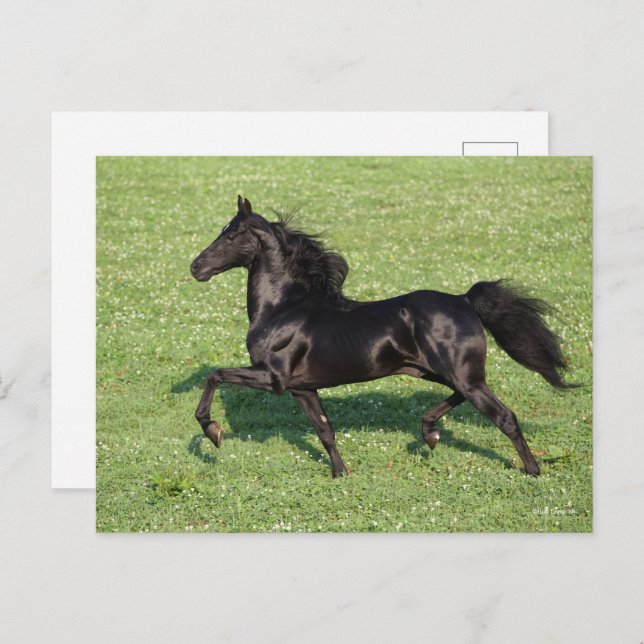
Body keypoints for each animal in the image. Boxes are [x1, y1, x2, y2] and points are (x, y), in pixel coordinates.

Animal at [190, 195, 574, 478]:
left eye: (230, 235)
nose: (196, 267)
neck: (283, 307)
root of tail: (465, 300)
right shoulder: (302, 388)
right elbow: (325, 431)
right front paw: (341, 474)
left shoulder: (273, 379)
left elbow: (215, 375)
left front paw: (213, 431)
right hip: (441, 372)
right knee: (460, 398)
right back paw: (429, 433)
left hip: (461, 375)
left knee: (505, 417)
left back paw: (532, 470)